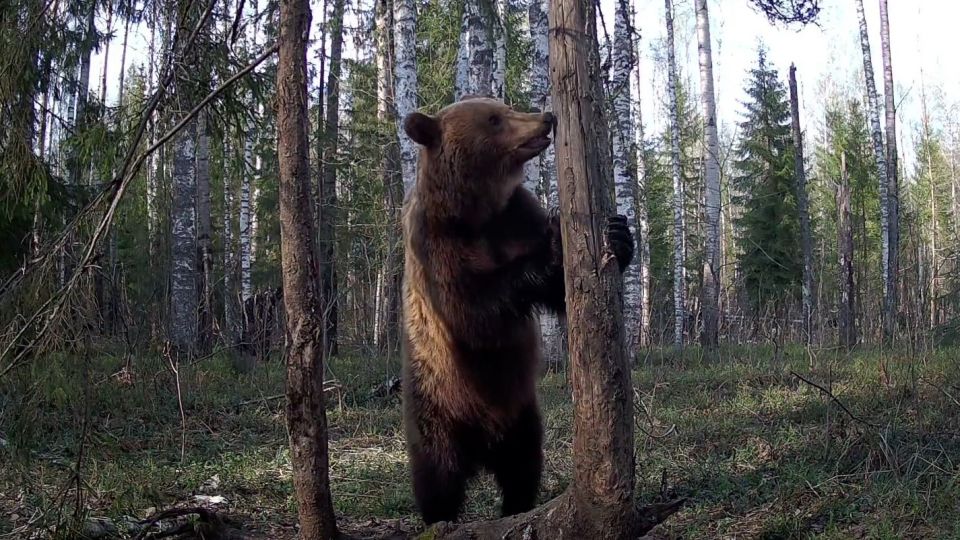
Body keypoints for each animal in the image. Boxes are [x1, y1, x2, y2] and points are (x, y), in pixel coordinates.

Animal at [399, 95, 635, 525]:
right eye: (494, 119)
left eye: (504, 106)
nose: (546, 117)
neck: (477, 211)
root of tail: (482, 447)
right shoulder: (435, 244)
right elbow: (471, 308)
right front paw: (553, 246)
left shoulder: (517, 215)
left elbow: (560, 292)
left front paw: (618, 234)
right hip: (436, 404)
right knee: (436, 472)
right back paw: (441, 517)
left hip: (521, 413)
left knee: (523, 465)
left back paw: (517, 506)